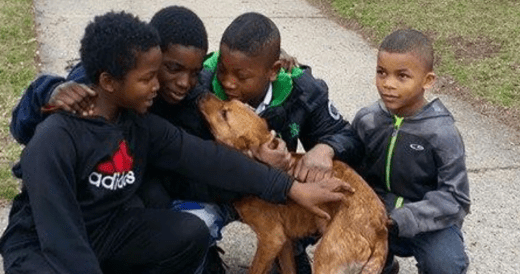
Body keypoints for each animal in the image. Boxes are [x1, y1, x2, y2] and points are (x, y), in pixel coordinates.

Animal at [199, 92, 390, 274]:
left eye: (224, 113)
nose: (202, 93)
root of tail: (380, 228)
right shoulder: (285, 244)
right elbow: (289, 269)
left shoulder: (272, 239)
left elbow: (255, 270)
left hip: (325, 259)